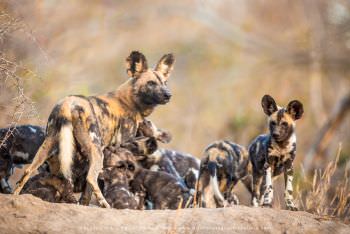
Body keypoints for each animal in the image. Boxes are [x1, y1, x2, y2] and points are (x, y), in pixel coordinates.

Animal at [13, 51, 175, 208]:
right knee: (91, 178)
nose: (168, 95)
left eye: (165, 83)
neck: (129, 101)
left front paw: (83, 204)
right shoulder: (122, 143)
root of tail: (69, 103)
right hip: (96, 150)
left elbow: (85, 194)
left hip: (48, 145)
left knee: (27, 171)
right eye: (151, 83)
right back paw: (105, 205)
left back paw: (14, 197)